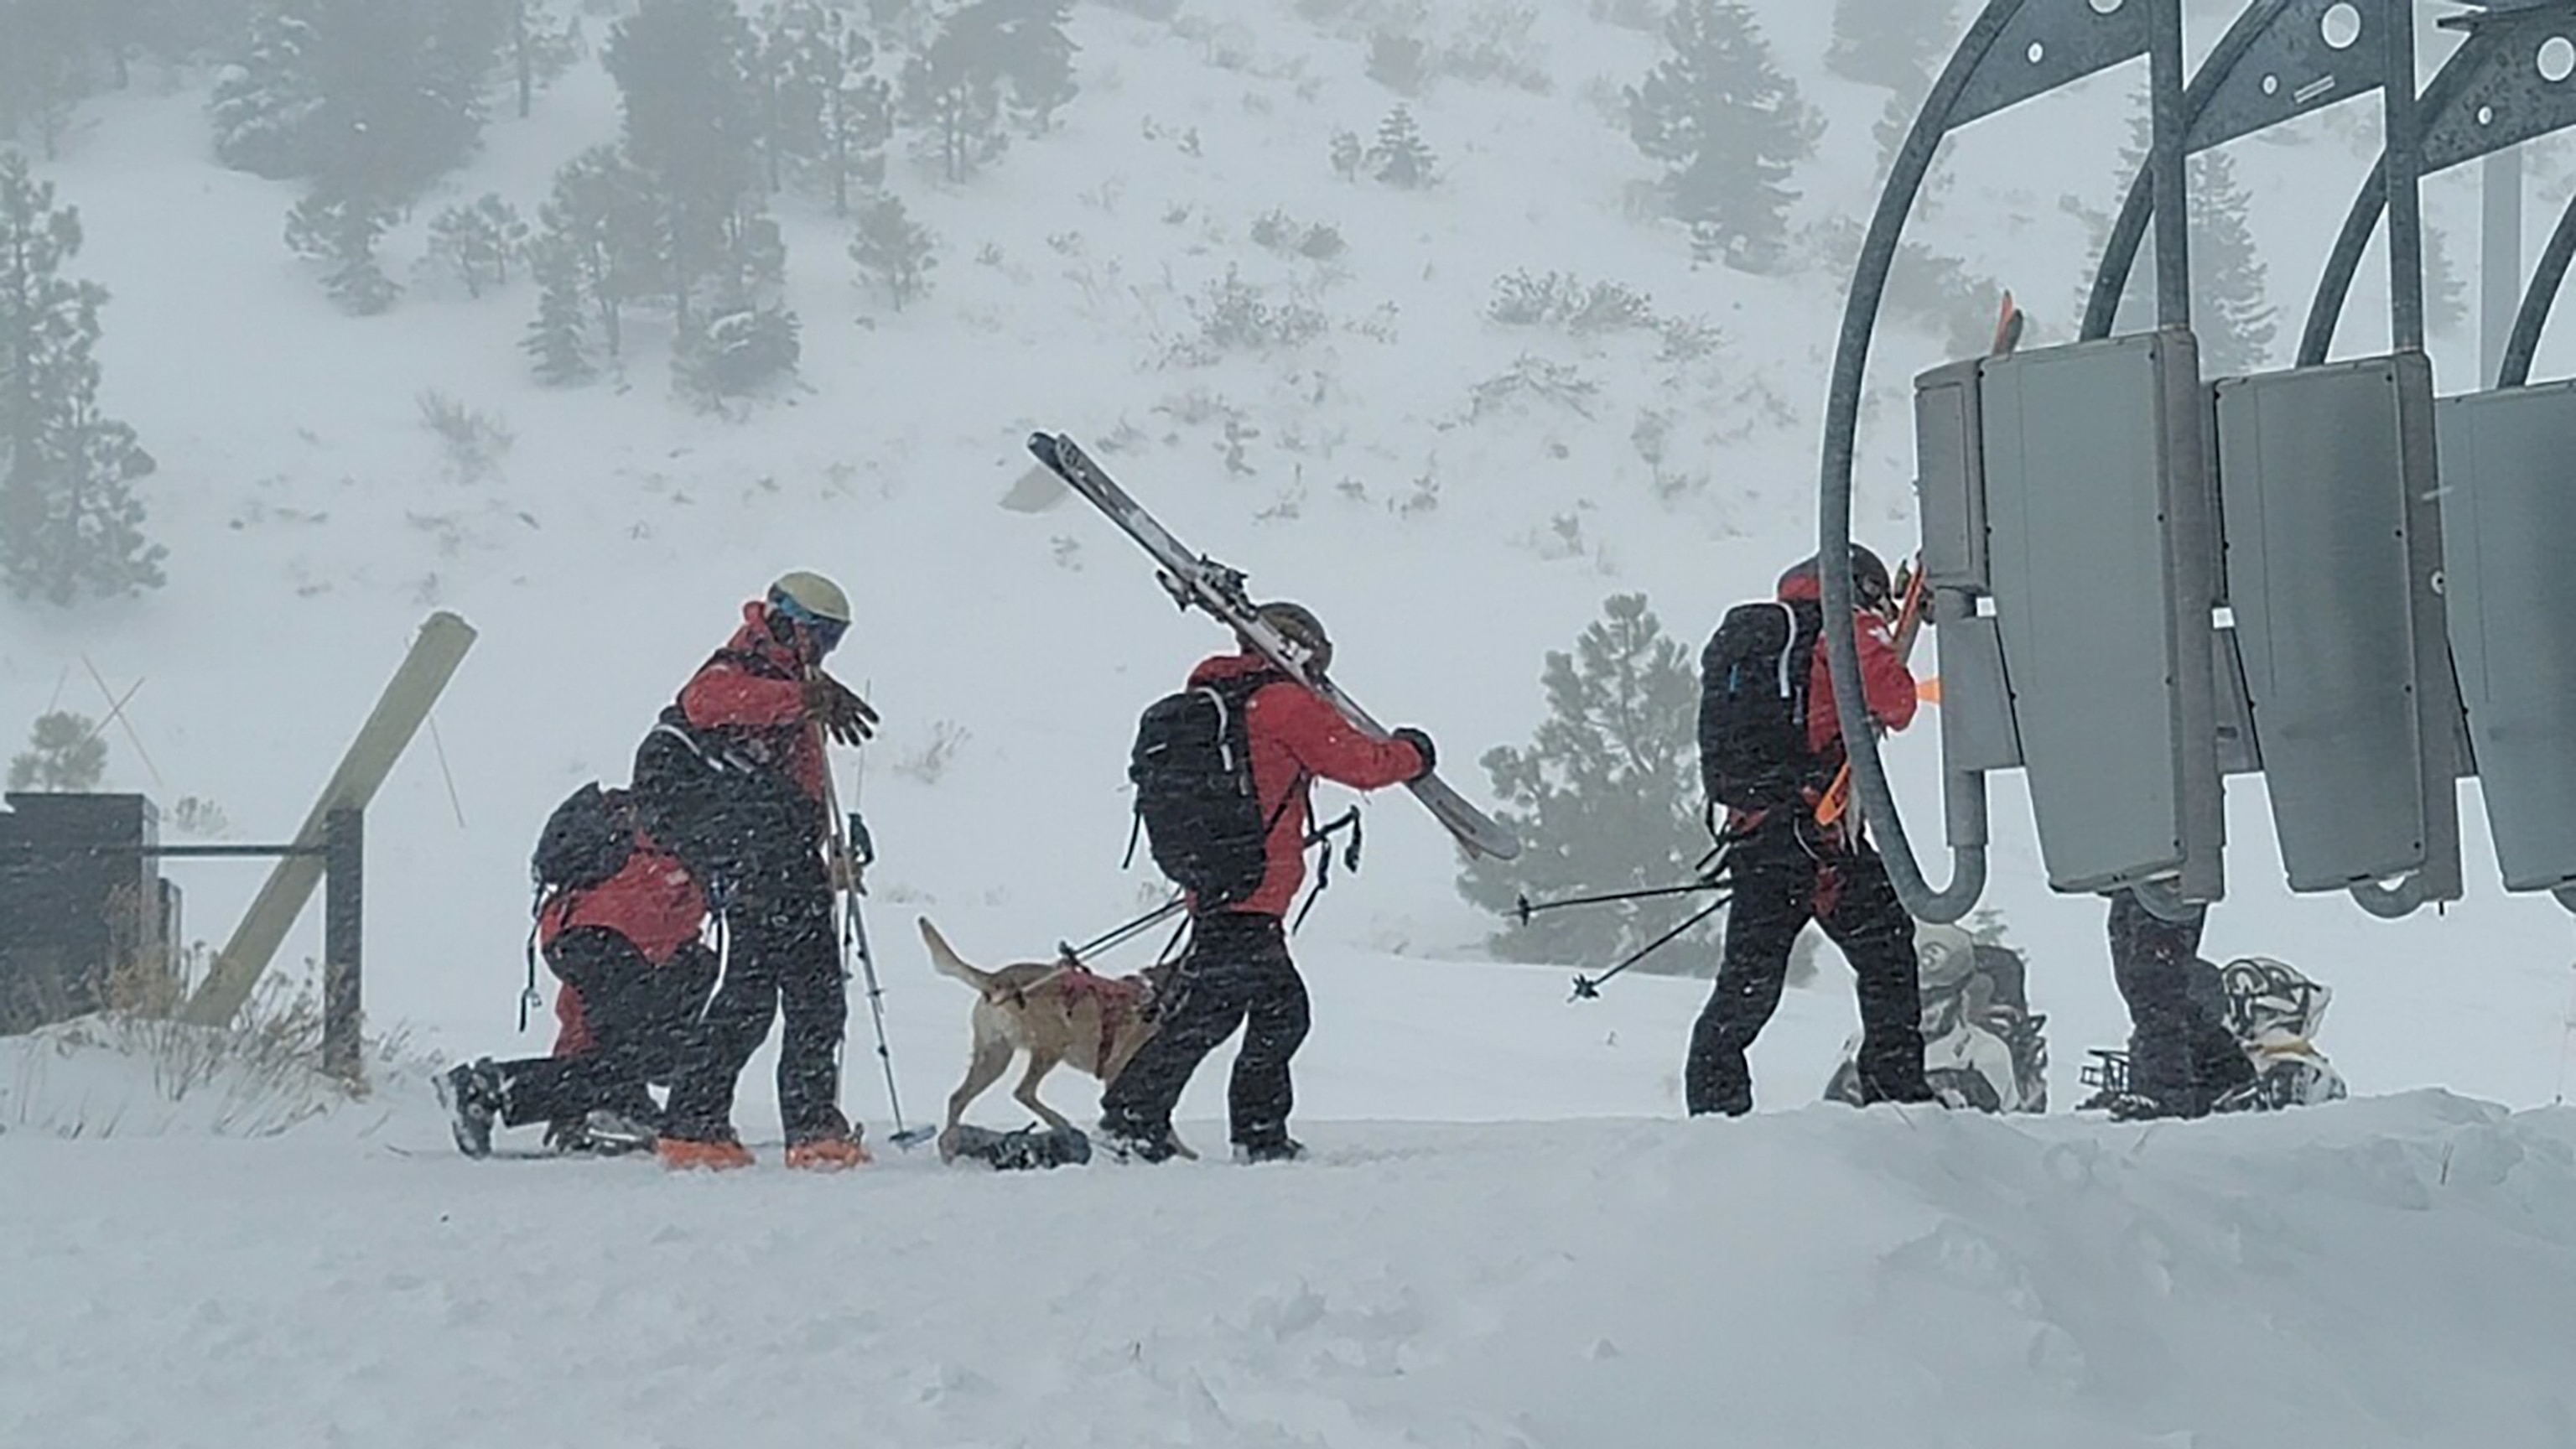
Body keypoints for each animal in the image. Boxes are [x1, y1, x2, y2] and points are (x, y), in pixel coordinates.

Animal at [917, 912, 1179, 1160]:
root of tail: (997, 979)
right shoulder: (1119, 1075)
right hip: (1051, 1046)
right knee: (1022, 1091)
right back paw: (1060, 1123)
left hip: (995, 1056)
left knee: (958, 1098)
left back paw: (950, 1147)